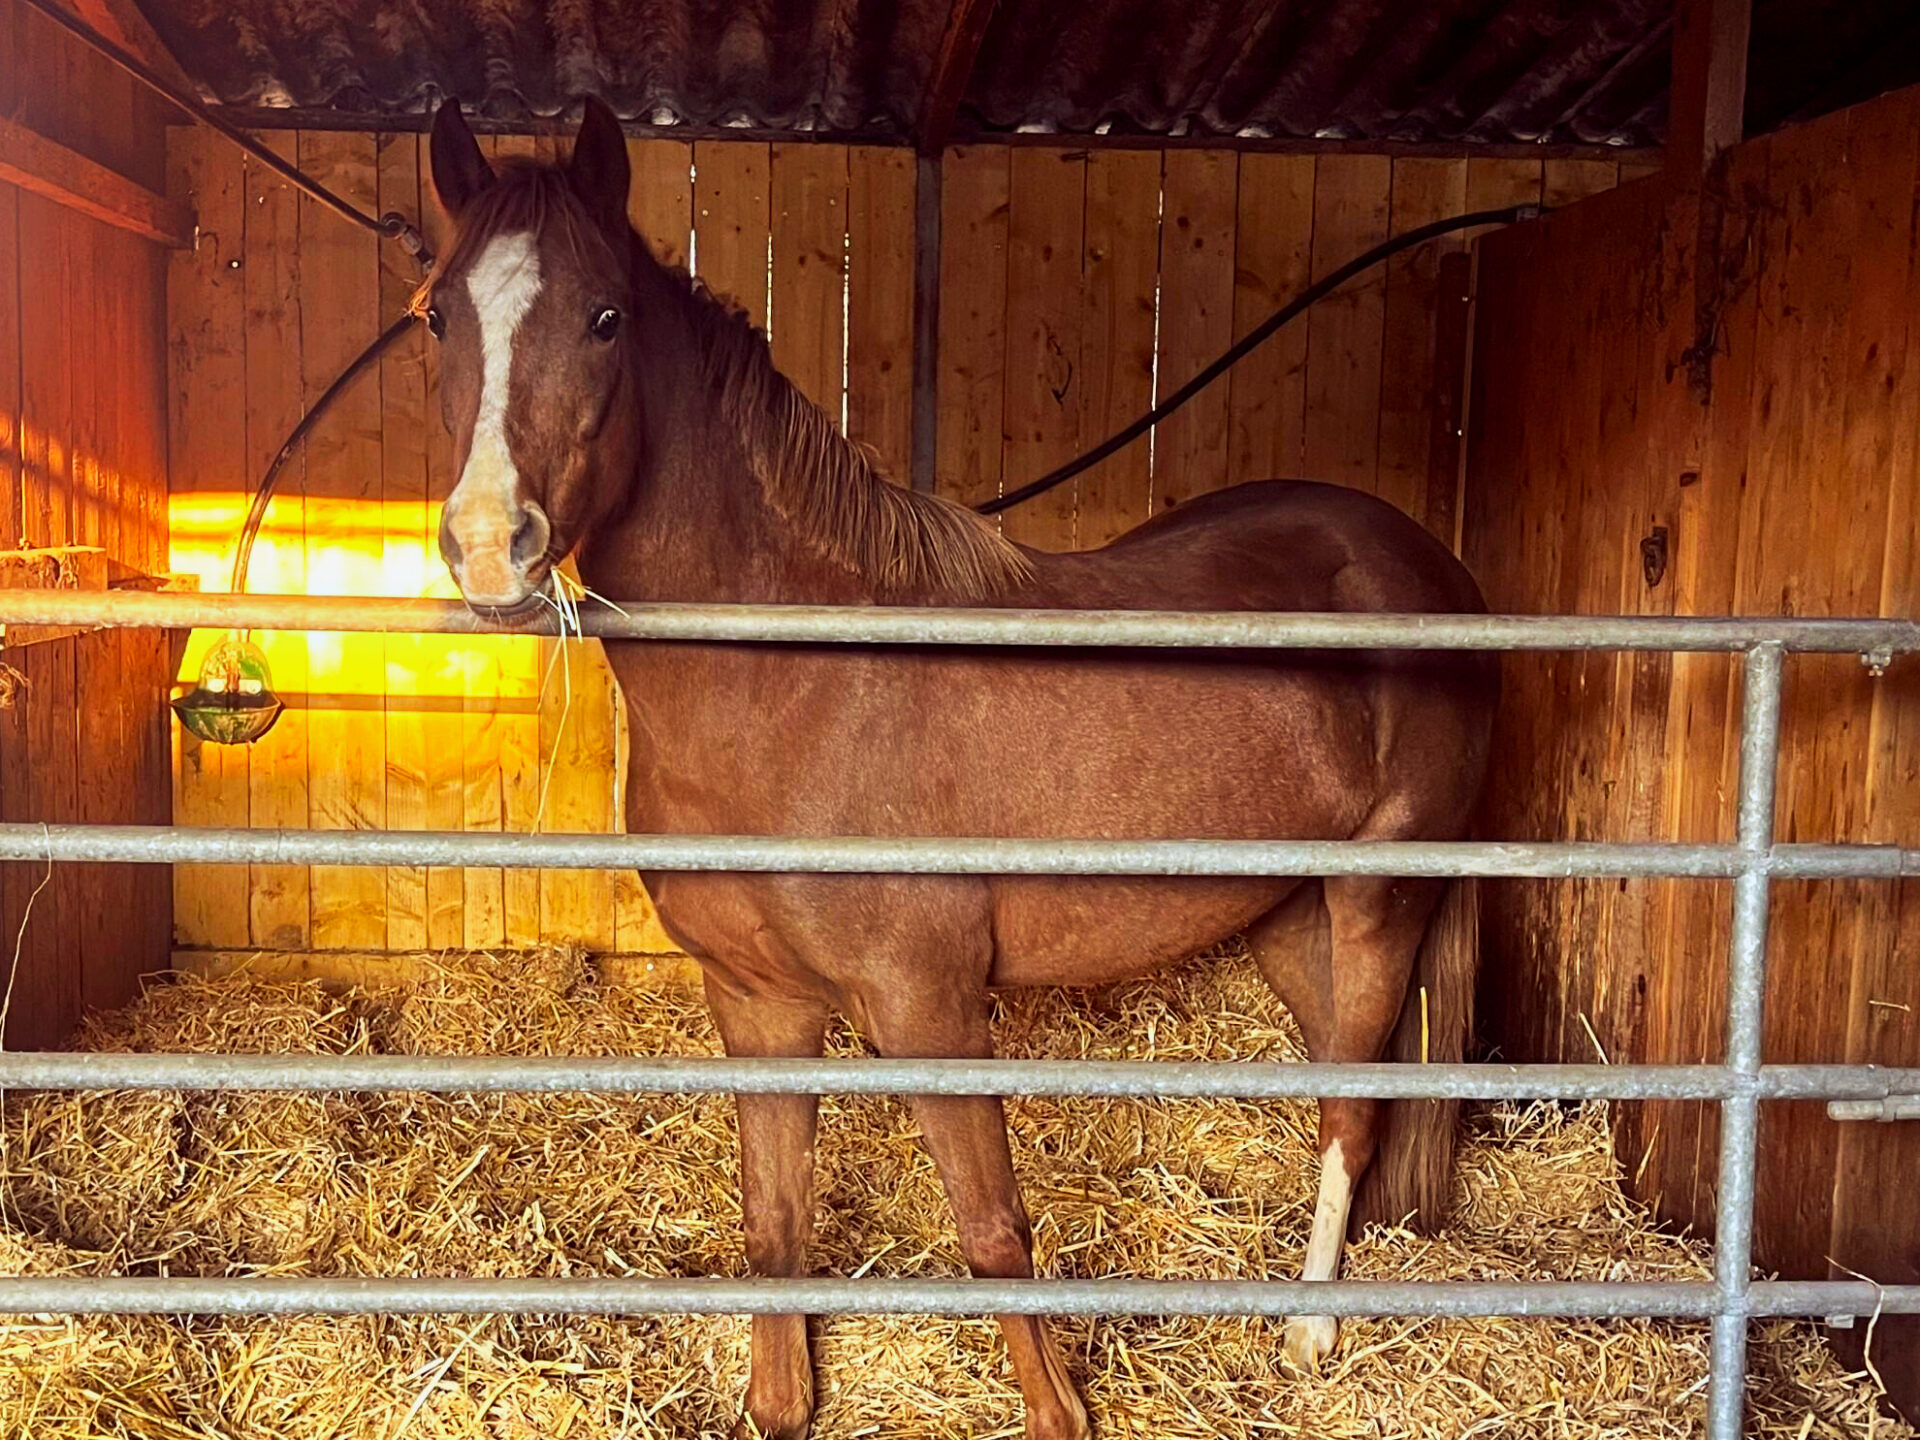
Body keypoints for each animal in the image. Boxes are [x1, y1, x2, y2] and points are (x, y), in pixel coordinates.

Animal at [420, 97, 1498, 1440]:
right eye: (436, 315)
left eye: (605, 316)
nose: (487, 546)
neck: (794, 690)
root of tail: (1429, 566)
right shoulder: (755, 1002)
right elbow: (775, 1230)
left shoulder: (930, 1008)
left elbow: (994, 1234)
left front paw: (1066, 1410)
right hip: (1285, 916)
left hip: (1378, 897)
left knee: (1354, 1110)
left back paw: (1306, 1342)